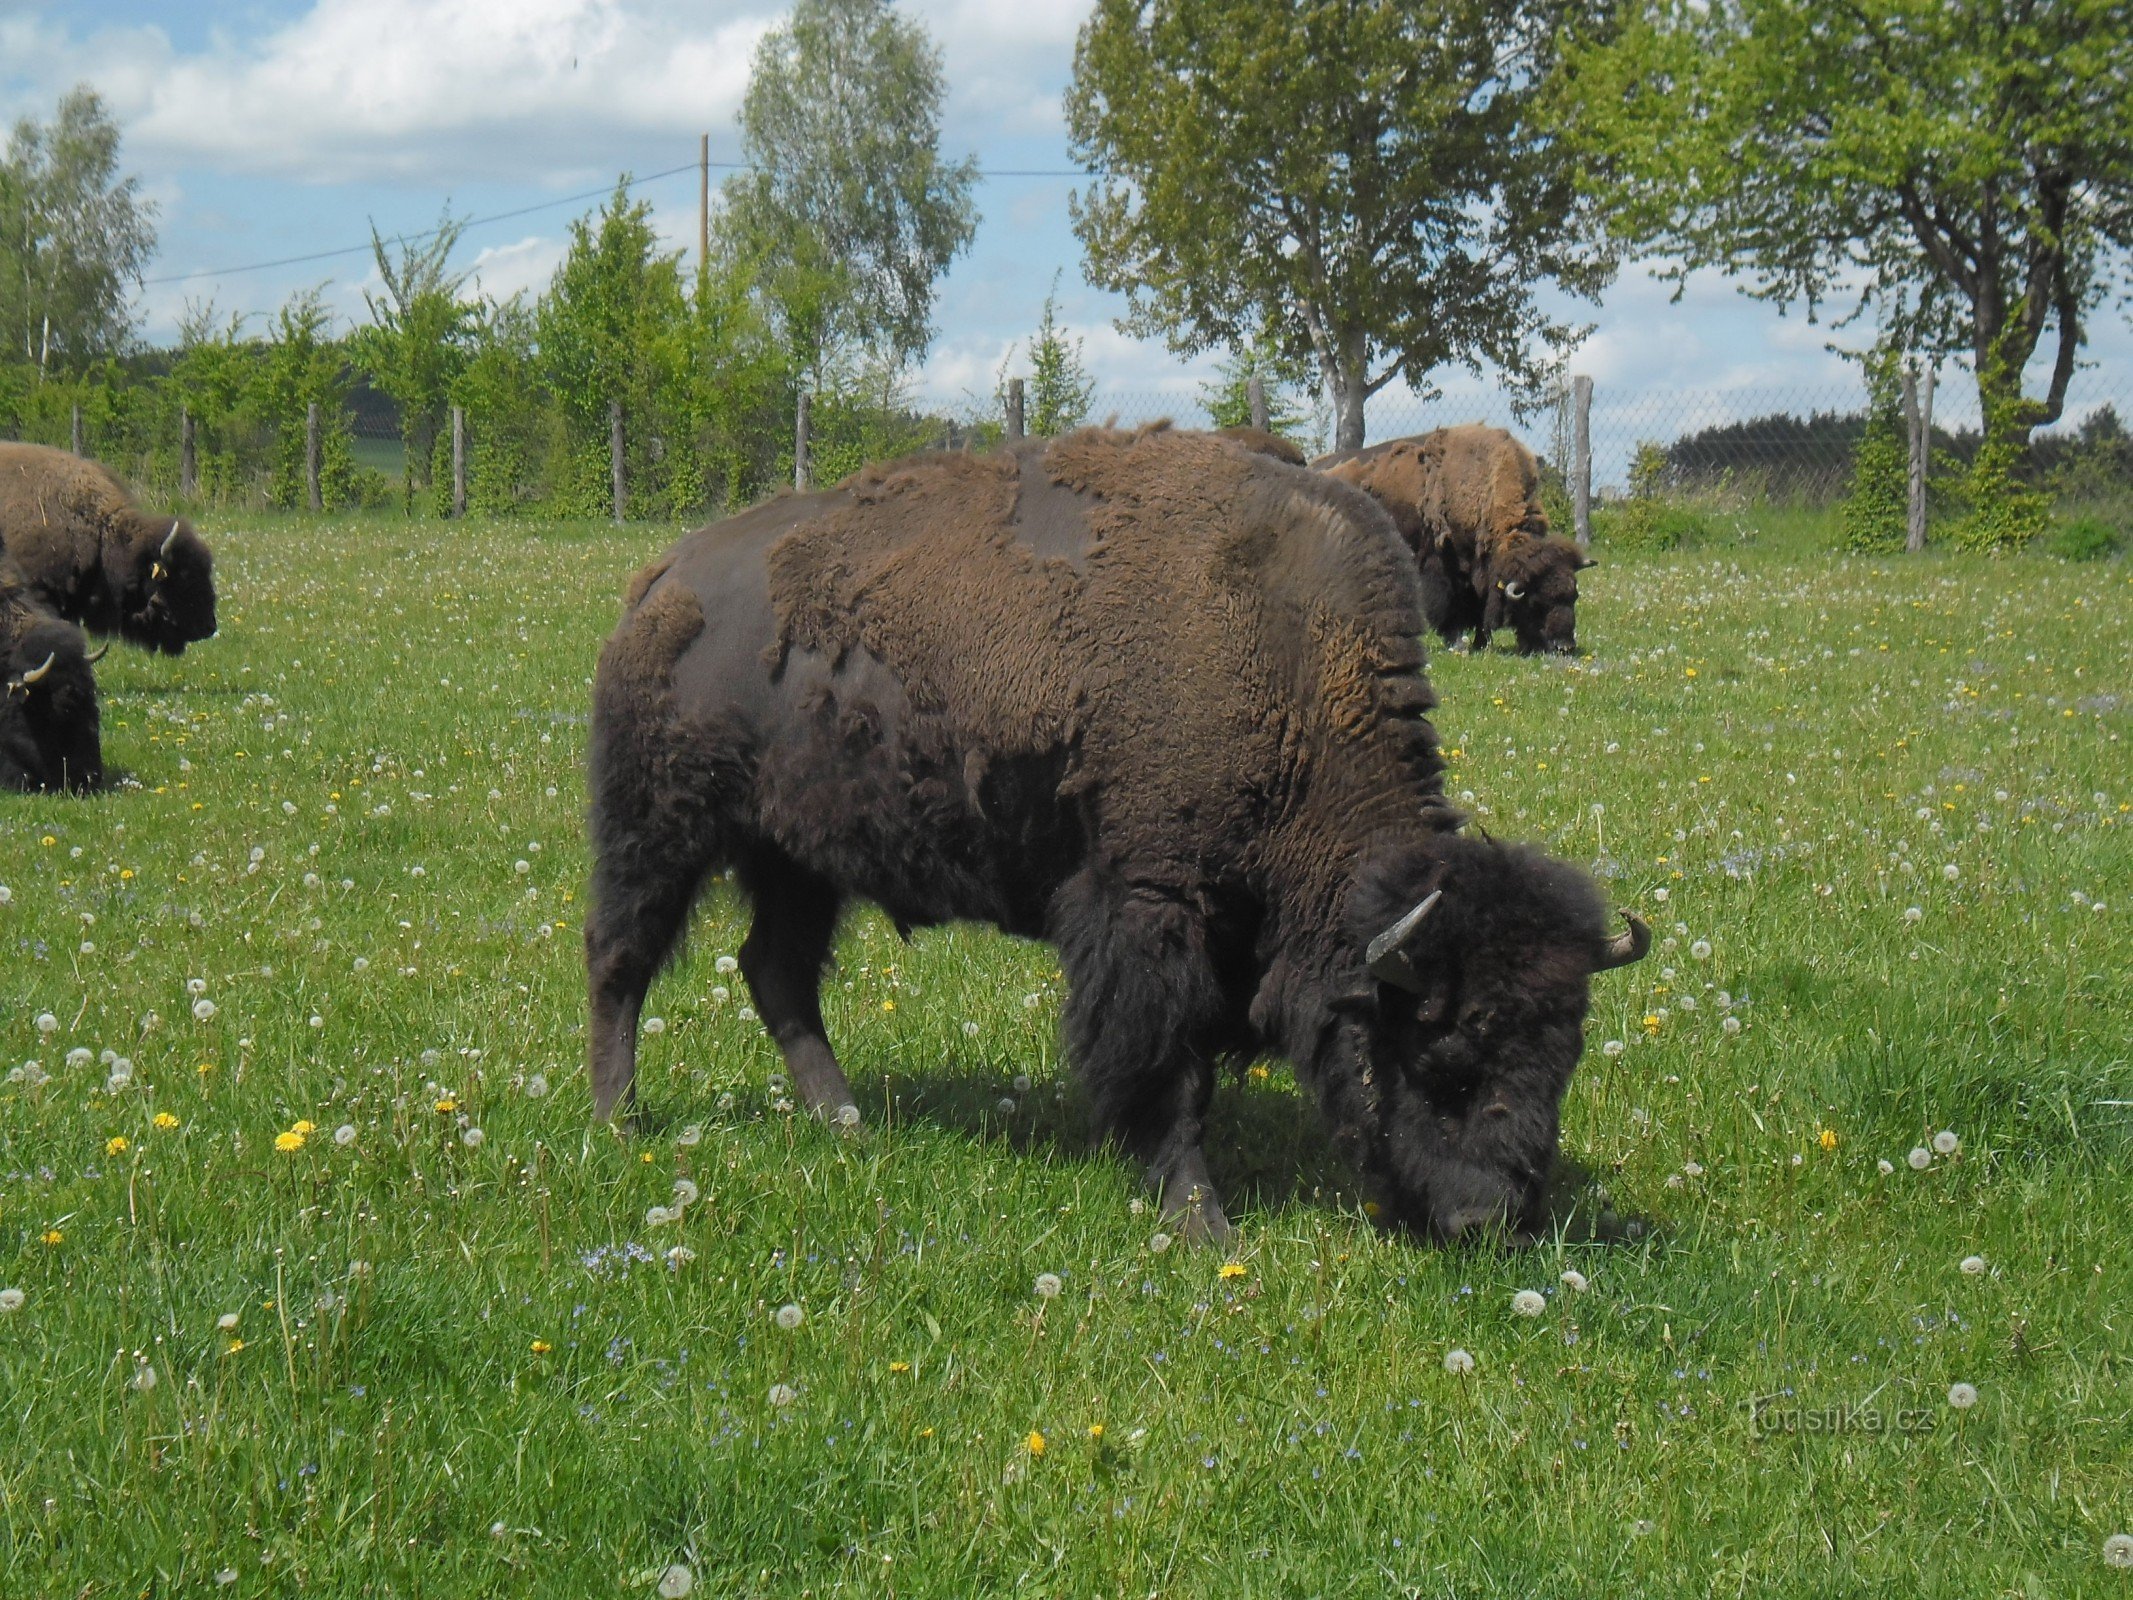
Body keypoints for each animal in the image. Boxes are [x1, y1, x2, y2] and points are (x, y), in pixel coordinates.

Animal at [1313, 426, 1604, 657]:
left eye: (1573, 597)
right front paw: (1458, 643)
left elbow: (1479, 609)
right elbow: (1450, 606)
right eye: (1536, 602)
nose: (1564, 646)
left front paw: (1480, 642)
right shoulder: (1441, 568)